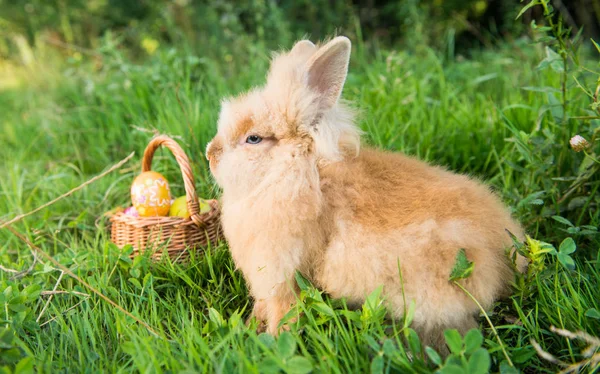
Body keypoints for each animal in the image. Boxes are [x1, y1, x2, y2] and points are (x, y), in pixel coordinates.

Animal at [205, 35, 524, 350]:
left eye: (253, 138)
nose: (210, 154)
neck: (299, 175)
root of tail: (504, 257)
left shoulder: (283, 272)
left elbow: (284, 310)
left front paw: (273, 338)